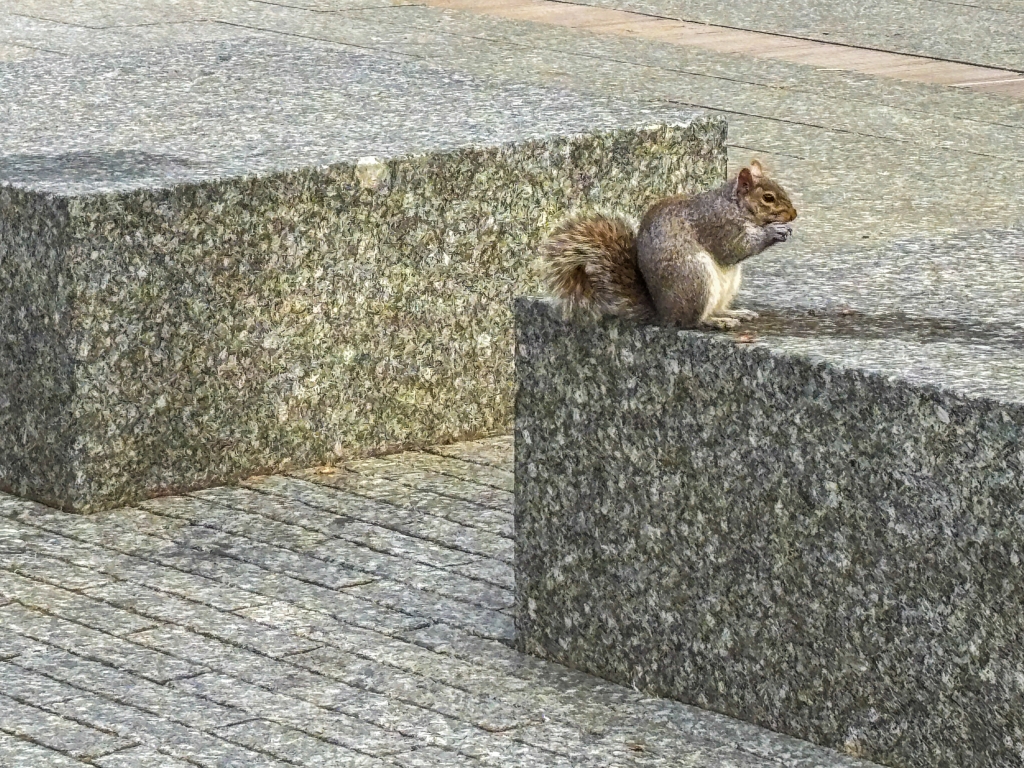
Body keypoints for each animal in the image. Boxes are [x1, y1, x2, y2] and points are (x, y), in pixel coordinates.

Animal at [539, 160, 797, 330]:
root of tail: (663, 314)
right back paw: (716, 321)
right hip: (695, 278)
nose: (794, 215)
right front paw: (773, 231)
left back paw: (734, 312)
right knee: (692, 321)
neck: (733, 205)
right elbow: (734, 248)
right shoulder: (717, 226)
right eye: (768, 198)